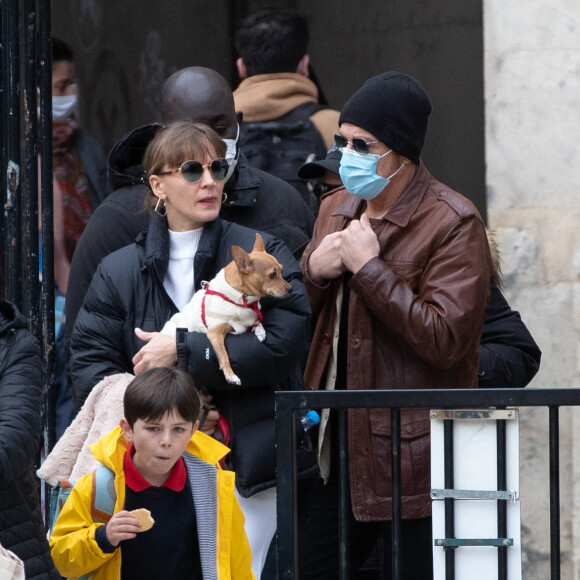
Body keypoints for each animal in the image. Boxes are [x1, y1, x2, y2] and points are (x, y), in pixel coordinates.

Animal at [161, 233, 290, 388]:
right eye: (272, 275)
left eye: (281, 271)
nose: (290, 289)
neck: (242, 300)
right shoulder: (215, 334)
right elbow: (224, 356)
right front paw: (231, 375)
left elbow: (257, 321)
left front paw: (260, 331)